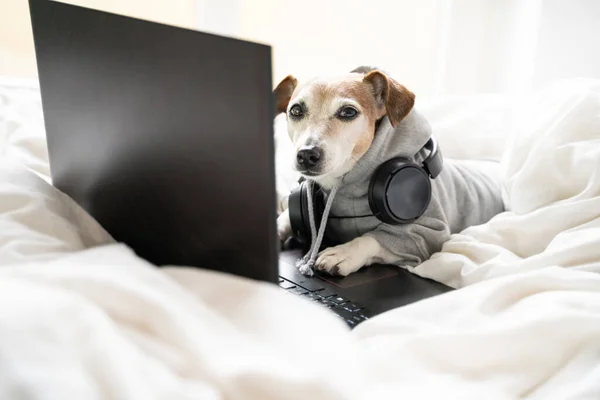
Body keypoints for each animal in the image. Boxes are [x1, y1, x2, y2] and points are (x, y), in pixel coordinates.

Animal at [274, 67, 504, 276]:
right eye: (295, 111)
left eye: (348, 112)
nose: (306, 155)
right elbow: (284, 217)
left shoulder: (429, 235)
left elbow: (373, 239)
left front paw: (343, 253)